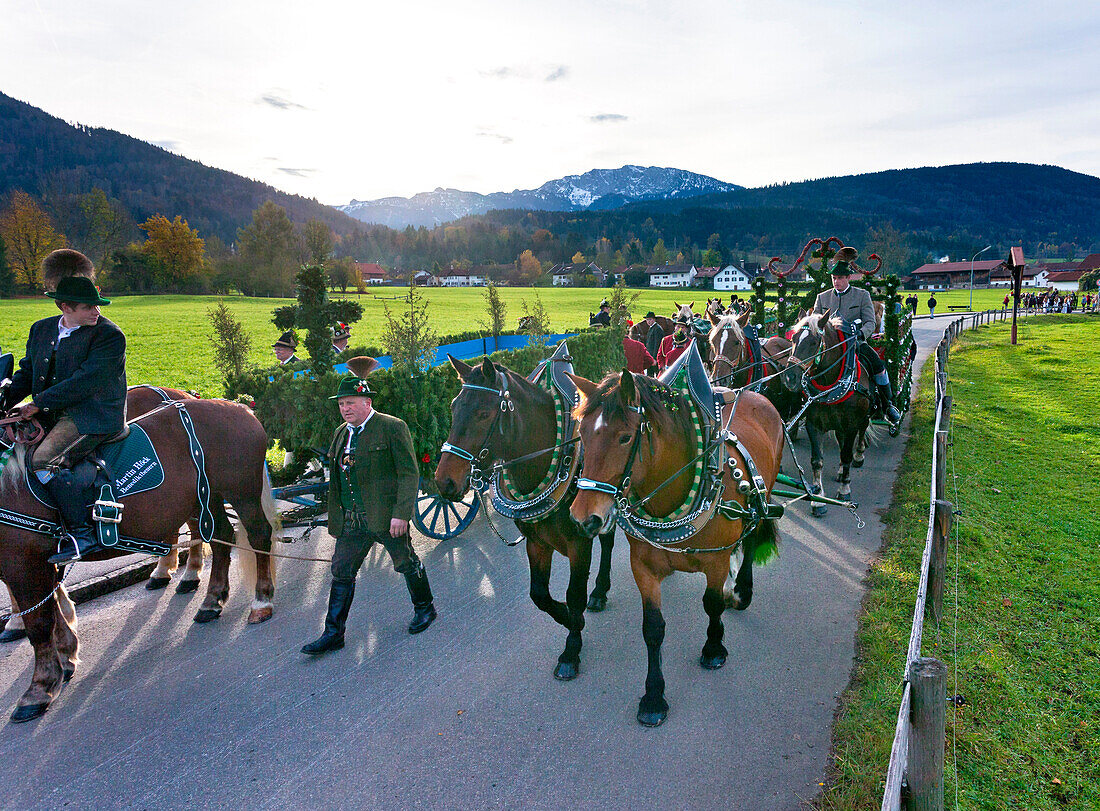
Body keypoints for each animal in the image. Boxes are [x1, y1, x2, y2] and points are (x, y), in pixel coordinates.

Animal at [0, 396, 279, 717]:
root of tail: (239, 407)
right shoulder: (40, 563)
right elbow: (54, 611)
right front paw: (65, 657)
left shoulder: (23, 563)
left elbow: (39, 623)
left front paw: (39, 688)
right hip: (205, 499)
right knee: (221, 539)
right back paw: (211, 600)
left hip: (242, 495)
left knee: (259, 537)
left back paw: (261, 600)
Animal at [433, 356, 616, 682]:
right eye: (454, 408)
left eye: (483, 413)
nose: (445, 481)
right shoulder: (536, 543)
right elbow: (539, 595)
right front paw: (567, 617)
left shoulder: (579, 544)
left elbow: (574, 594)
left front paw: (571, 649)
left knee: (608, 543)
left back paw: (599, 591)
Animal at [567, 369, 783, 726]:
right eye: (582, 434)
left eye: (625, 437)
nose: (583, 516)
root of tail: (756, 394)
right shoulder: (643, 566)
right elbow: (653, 628)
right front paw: (654, 696)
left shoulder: (715, 561)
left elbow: (711, 604)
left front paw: (713, 648)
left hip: (762, 496)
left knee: (751, 537)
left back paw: (741, 589)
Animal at [787, 312, 871, 512]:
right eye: (793, 339)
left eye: (813, 342)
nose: (789, 377)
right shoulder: (813, 424)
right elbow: (817, 460)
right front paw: (817, 497)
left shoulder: (851, 425)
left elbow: (847, 455)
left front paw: (845, 489)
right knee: (841, 442)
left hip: (863, 414)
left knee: (862, 430)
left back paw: (859, 455)